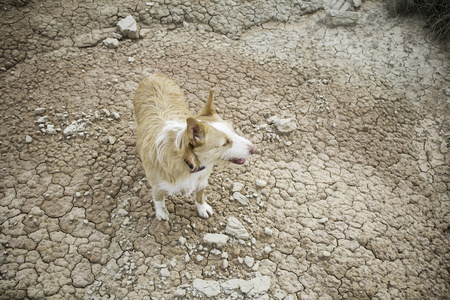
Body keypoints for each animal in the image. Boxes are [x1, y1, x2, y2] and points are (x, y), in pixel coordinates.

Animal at [133, 75, 256, 220]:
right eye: (225, 143)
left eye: (233, 131)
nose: (254, 149)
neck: (188, 161)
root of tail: (153, 75)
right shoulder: (157, 185)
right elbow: (159, 199)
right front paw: (161, 212)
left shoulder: (202, 179)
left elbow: (200, 194)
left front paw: (202, 207)